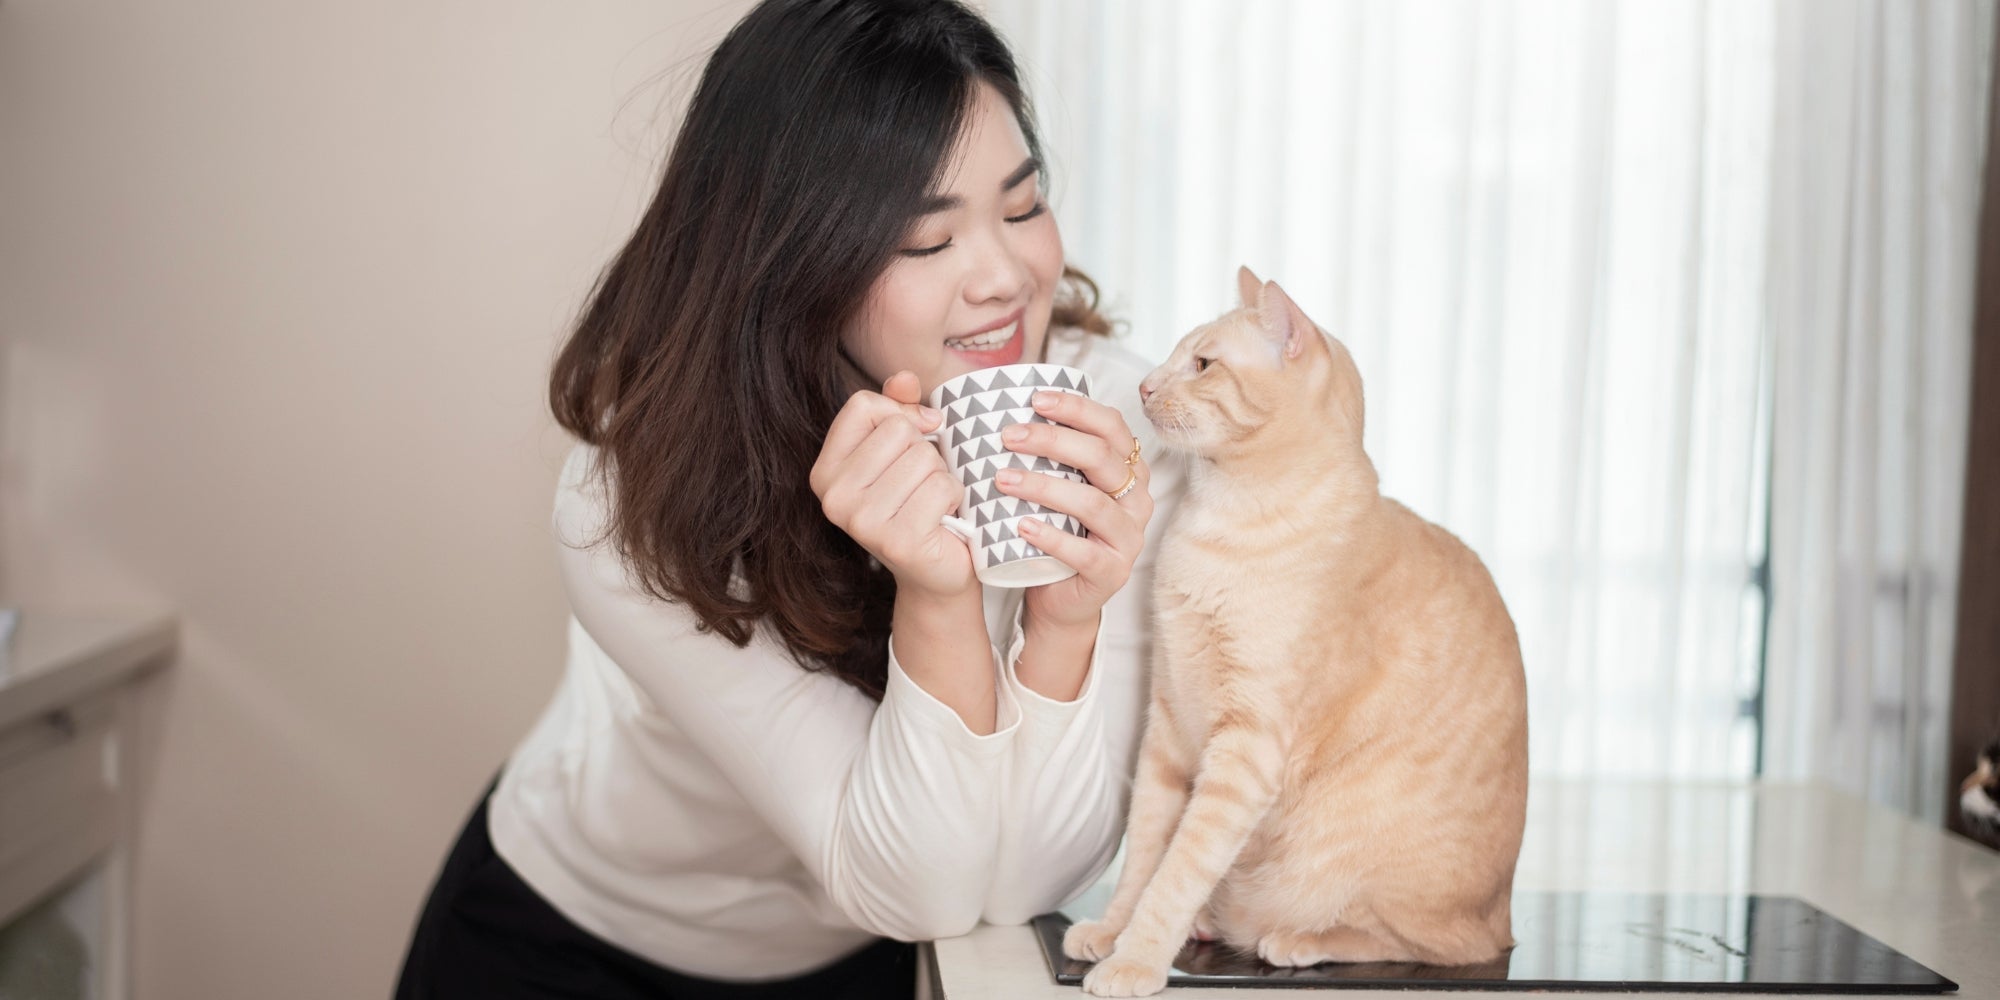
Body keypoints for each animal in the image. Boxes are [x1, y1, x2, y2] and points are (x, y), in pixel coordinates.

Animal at [1072, 270, 1520, 996]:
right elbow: (1144, 856)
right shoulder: (1166, 727)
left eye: (1202, 364)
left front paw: (1135, 961)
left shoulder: (1246, 749)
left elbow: (1176, 872)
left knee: (1434, 945)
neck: (1216, 521)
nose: (1143, 387)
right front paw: (1114, 933)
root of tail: (1504, 914)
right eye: (1172, 357)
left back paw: (1297, 939)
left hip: (1372, 878)